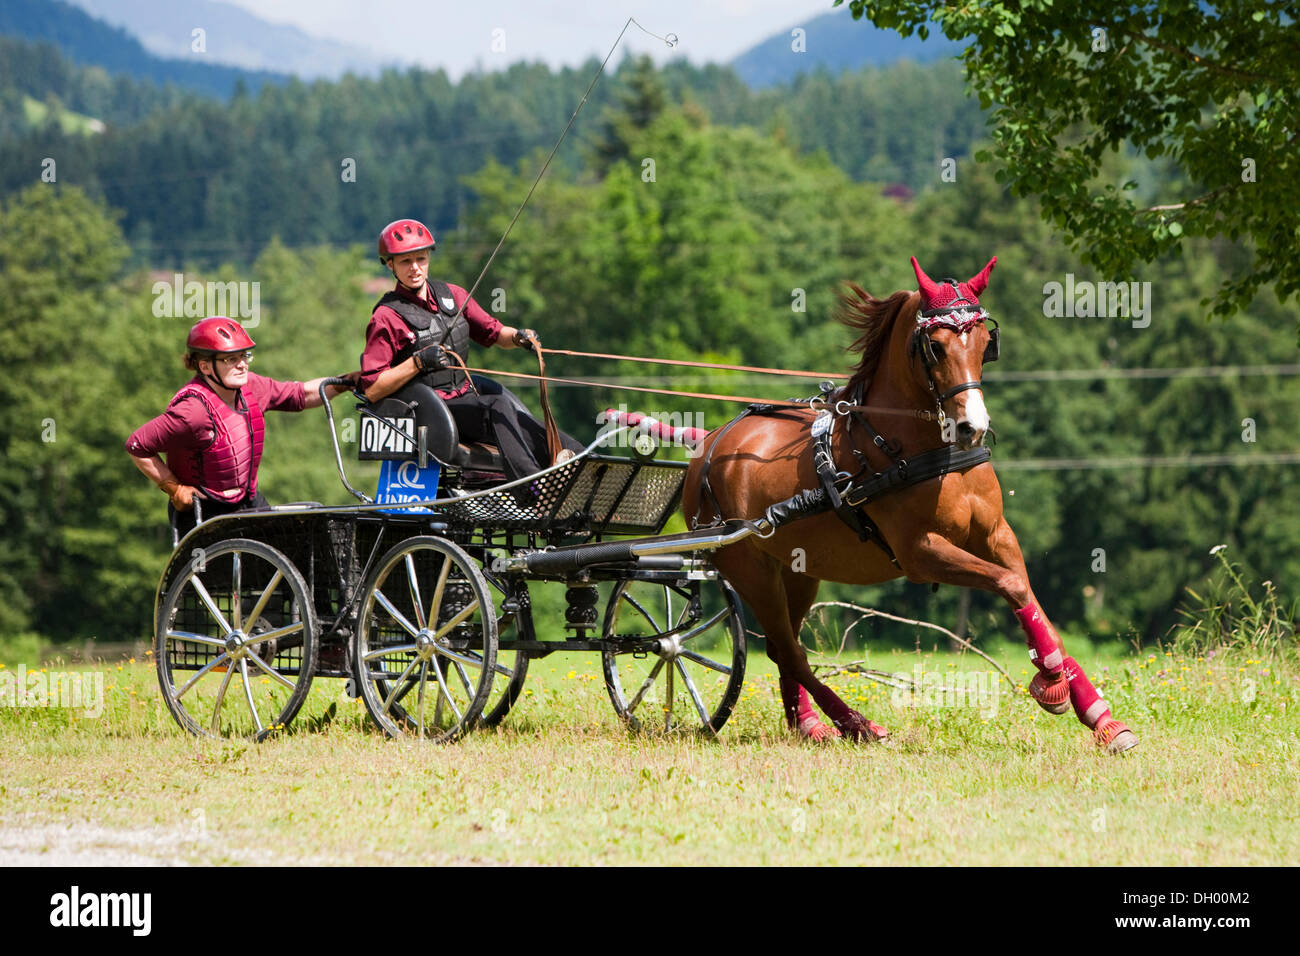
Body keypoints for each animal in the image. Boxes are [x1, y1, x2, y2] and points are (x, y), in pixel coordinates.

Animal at [686, 260, 1144, 754]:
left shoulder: (997, 535)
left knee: (783, 646)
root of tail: (708, 446)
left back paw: (808, 724)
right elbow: (1009, 585)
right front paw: (1052, 681)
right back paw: (858, 725)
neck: (918, 449)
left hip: (797, 570)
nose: (971, 427)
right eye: (935, 346)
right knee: (787, 648)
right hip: (750, 569)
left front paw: (1097, 714)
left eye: (984, 341)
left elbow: (1027, 595)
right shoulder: (921, 553)